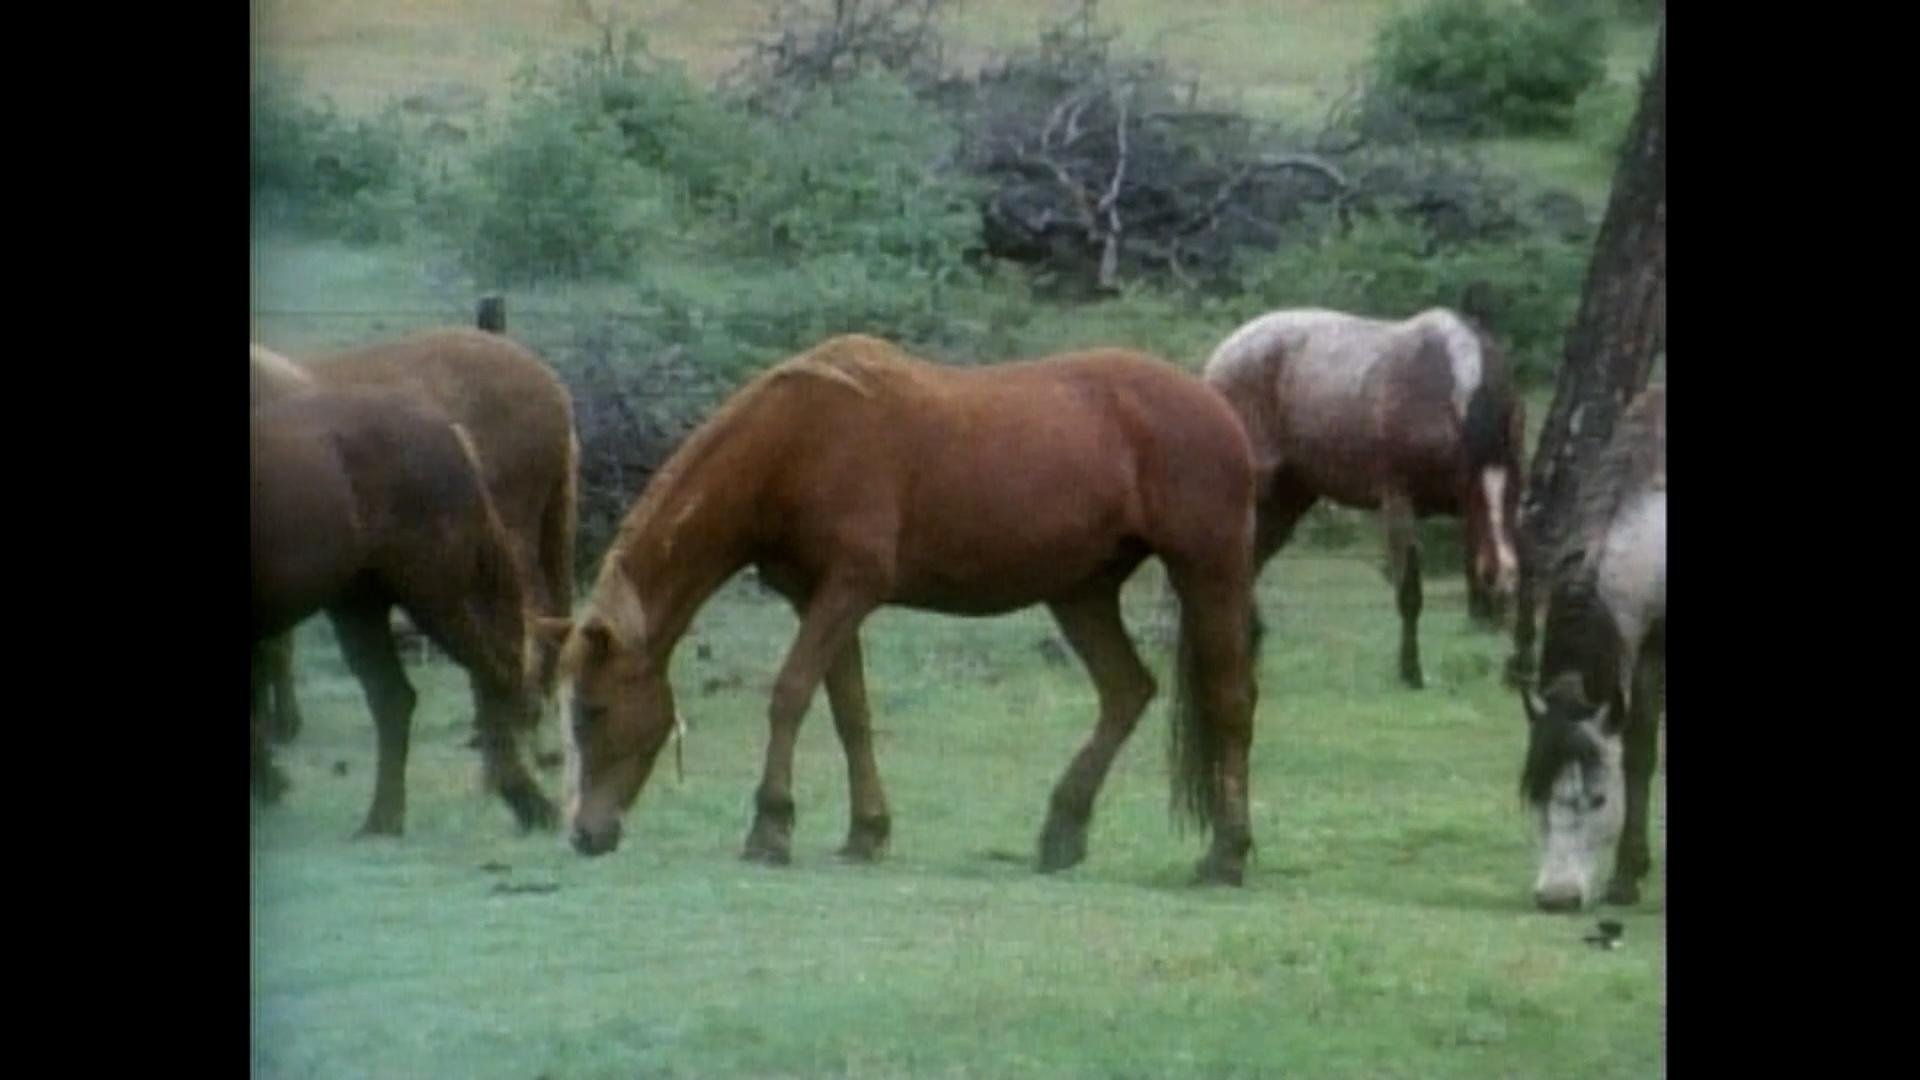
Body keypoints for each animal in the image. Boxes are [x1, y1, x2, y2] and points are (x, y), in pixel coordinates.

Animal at [251, 386, 559, 835]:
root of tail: (448, 434)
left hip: (434, 597)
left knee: (494, 674)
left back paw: (530, 804)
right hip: (358, 606)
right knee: (395, 697)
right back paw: (382, 821)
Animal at [536, 334, 1263, 885]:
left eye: (592, 710)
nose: (583, 834)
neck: (796, 443)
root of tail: (1217, 406)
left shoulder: (850, 587)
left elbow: (791, 693)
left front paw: (771, 826)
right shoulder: (820, 598)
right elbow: (850, 712)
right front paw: (867, 831)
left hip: (1209, 571)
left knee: (1229, 699)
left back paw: (1225, 855)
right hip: (1081, 592)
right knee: (1126, 691)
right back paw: (1062, 832)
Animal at [1202, 307, 1526, 688]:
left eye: (1515, 495)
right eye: (1475, 492)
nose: (1501, 576)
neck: (1441, 385)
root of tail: (1219, 360)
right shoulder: (1399, 501)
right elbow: (1409, 591)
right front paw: (1411, 673)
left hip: (1286, 500)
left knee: (1247, 565)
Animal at [1518, 384, 1665, 912]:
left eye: (1598, 799)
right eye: (1537, 795)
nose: (1557, 897)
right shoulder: (1644, 651)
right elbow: (1639, 752)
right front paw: (1628, 875)